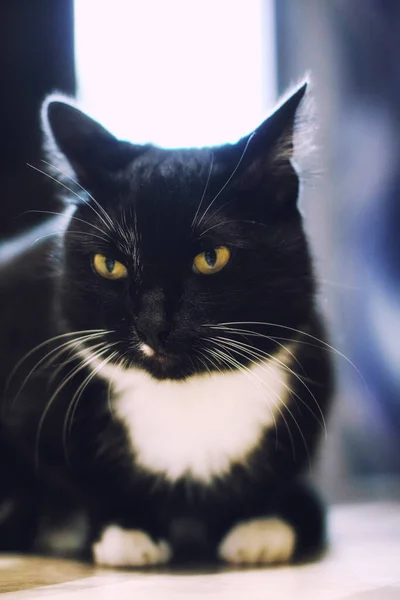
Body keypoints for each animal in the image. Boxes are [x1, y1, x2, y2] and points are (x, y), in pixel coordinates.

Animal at [0, 82, 332, 564]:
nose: (153, 325)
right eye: (109, 265)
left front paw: (261, 524)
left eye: (211, 258)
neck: (184, 398)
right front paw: (127, 532)